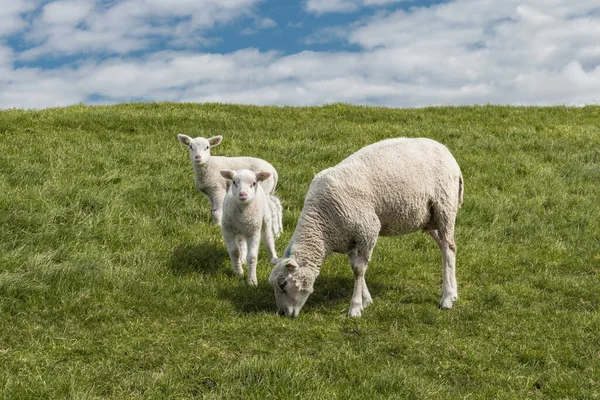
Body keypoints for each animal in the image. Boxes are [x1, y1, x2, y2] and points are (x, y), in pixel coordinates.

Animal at [268, 138, 464, 318]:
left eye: (283, 284)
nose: (282, 314)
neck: (322, 226)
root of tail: (446, 152)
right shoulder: (349, 238)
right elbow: (355, 268)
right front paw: (366, 300)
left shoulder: (368, 230)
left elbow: (358, 270)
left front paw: (355, 308)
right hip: (429, 219)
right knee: (447, 248)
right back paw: (453, 292)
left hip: (445, 207)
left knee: (448, 248)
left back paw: (447, 298)